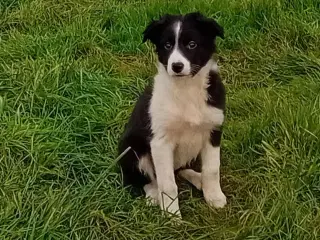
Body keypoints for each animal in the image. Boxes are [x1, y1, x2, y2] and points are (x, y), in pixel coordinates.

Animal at [119, 11, 226, 218]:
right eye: (167, 46)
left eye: (192, 44)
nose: (176, 66)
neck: (186, 88)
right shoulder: (161, 142)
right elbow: (168, 184)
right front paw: (172, 215)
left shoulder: (213, 130)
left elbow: (212, 169)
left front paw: (214, 196)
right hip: (131, 149)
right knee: (146, 178)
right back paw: (154, 195)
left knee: (181, 169)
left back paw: (198, 180)